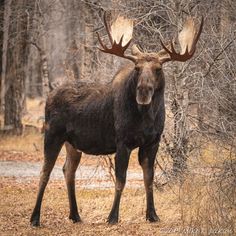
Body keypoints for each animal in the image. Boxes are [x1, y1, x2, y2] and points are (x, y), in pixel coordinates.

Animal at [30, 12, 203, 226]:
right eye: (137, 68)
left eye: (158, 69)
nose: (143, 91)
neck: (146, 117)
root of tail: (49, 96)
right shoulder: (123, 142)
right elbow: (121, 180)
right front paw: (112, 216)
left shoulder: (152, 142)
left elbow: (149, 179)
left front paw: (152, 215)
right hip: (52, 134)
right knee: (45, 172)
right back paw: (35, 218)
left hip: (73, 144)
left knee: (68, 170)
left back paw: (75, 215)